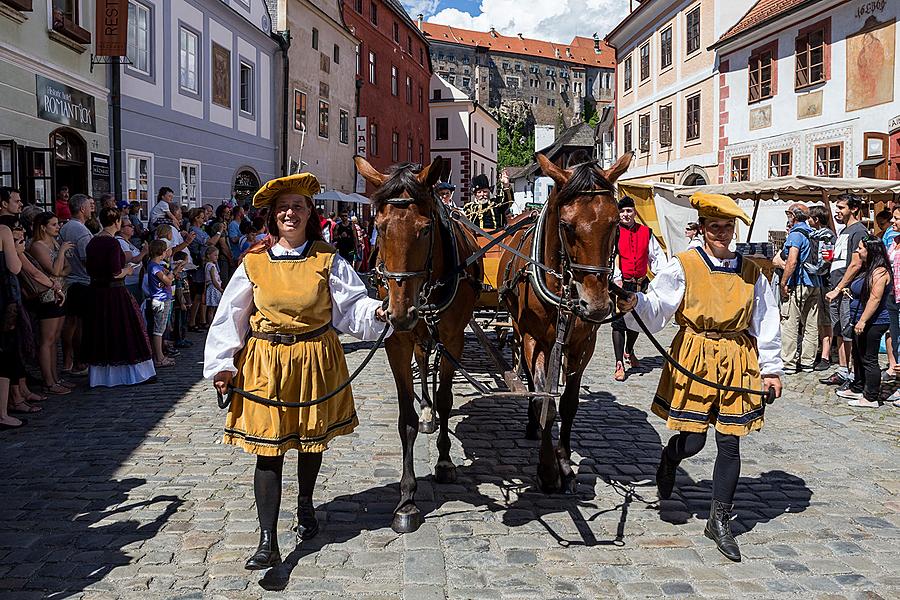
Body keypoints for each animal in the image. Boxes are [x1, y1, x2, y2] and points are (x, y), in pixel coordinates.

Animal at [354, 155, 486, 536]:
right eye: (379, 227)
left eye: (425, 229)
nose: (400, 312)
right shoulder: (396, 342)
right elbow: (406, 420)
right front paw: (407, 499)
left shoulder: (453, 338)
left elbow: (446, 398)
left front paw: (443, 461)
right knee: (424, 362)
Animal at [500, 152, 632, 494]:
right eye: (566, 225)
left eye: (616, 223)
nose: (595, 305)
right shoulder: (533, 339)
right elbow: (543, 399)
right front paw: (548, 469)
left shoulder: (582, 344)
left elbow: (569, 403)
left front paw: (565, 459)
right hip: (519, 330)